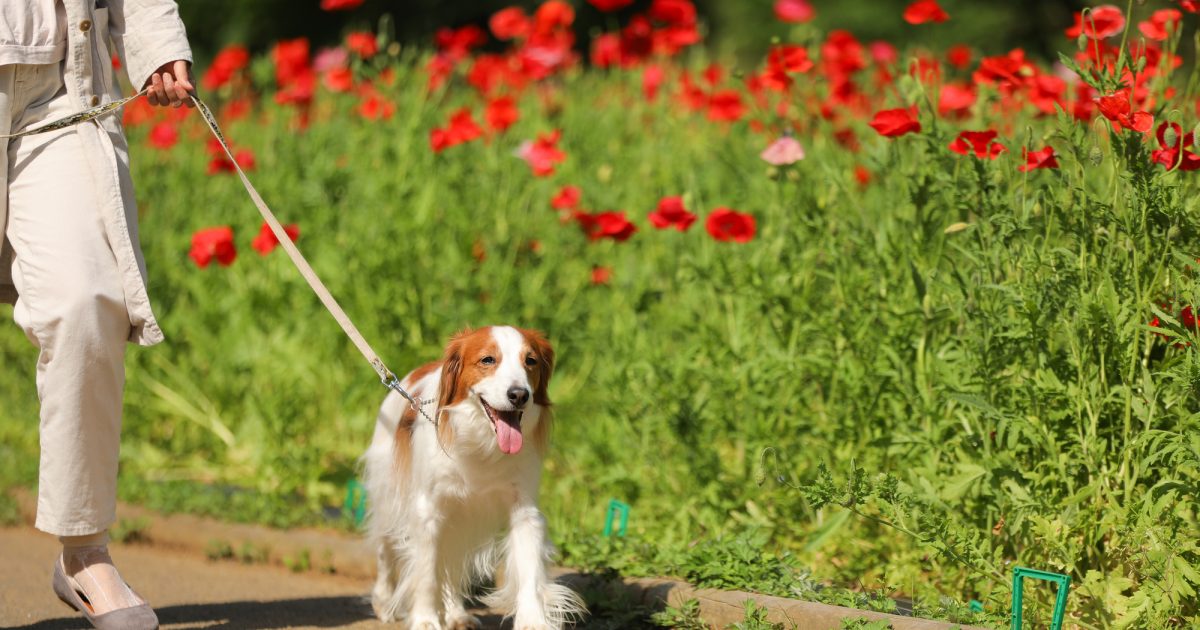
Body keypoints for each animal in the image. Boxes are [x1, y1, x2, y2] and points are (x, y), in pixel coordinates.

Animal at [357, 326, 583, 624]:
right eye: (488, 360)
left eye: (530, 361)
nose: (519, 394)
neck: (482, 443)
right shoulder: (427, 513)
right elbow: (426, 575)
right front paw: (426, 620)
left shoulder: (524, 511)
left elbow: (529, 574)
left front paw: (532, 621)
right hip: (388, 495)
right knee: (385, 549)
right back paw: (383, 601)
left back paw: (456, 614)